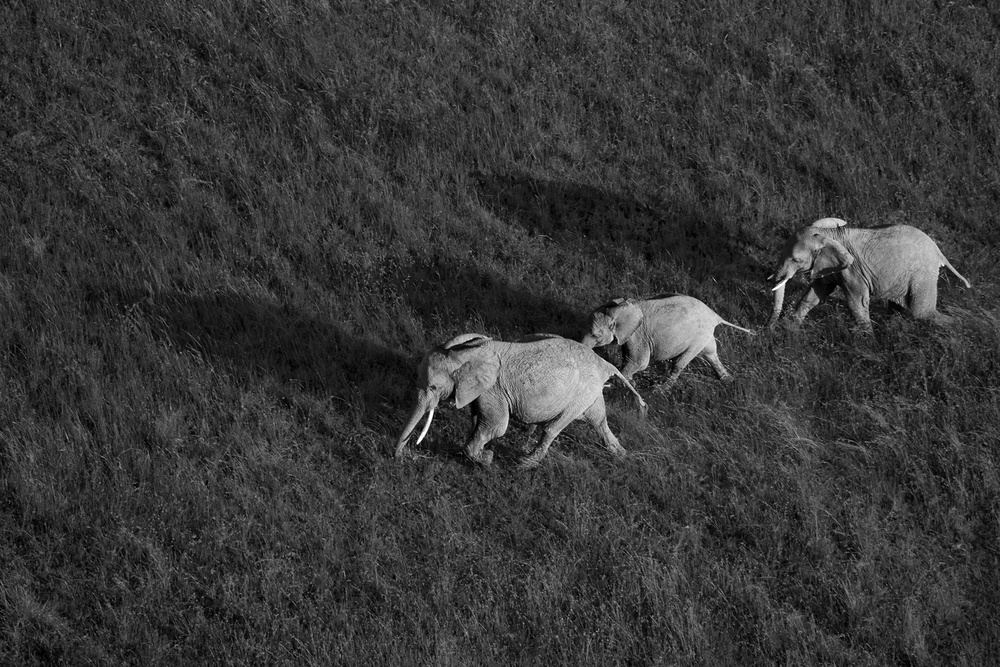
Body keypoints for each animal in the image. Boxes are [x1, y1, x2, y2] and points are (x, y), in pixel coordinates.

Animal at [390, 334, 648, 470]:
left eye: (433, 387)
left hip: (581, 392)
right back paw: (621, 455)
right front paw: (477, 453)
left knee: (554, 427)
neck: (464, 352)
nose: (406, 457)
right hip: (589, 391)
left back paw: (524, 463)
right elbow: (477, 420)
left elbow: (496, 426)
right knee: (599, 419)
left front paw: (487, 458)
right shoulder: (479, 391)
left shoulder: (493, 389)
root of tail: (606, 364)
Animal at [580, 294, 752, 392]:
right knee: (711, 354)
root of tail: (716, 316)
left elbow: (640, 361)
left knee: (679, 363)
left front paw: (624, 385)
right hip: (705, 336)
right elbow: (628, 357)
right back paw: (728, 380)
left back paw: (659, 390)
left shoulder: (639, 333)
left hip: (697, 337)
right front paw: (630, 383)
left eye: (596, 336)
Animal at [764, 217, 968, 332]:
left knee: (922, 312)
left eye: (795, 260)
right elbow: (814, 294)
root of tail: (938, 251)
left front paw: (868, 342)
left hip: (923, 273)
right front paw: (791, 330)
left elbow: (857, 302)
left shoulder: (853, 270)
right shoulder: (827, 266)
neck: (829, 234)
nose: (768, 329)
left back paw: (959, 326)